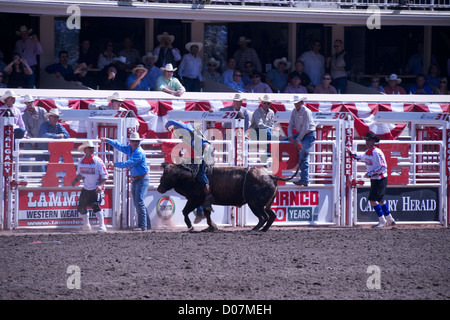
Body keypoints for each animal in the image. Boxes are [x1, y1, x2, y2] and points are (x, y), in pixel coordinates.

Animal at [156, 164, 298, 231]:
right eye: (164, 173)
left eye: (174, 174)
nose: (160, 188)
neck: (193, 176)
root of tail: (270, 176)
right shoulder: (203, 202)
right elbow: (207, 214)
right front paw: (212, 226)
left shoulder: (194, 200)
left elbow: (185, 212)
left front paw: (190, 226)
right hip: (265, 204)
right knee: (271, 216)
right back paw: (263, 230)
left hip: (255, 204)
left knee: (264, 217)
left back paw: (254, 229)